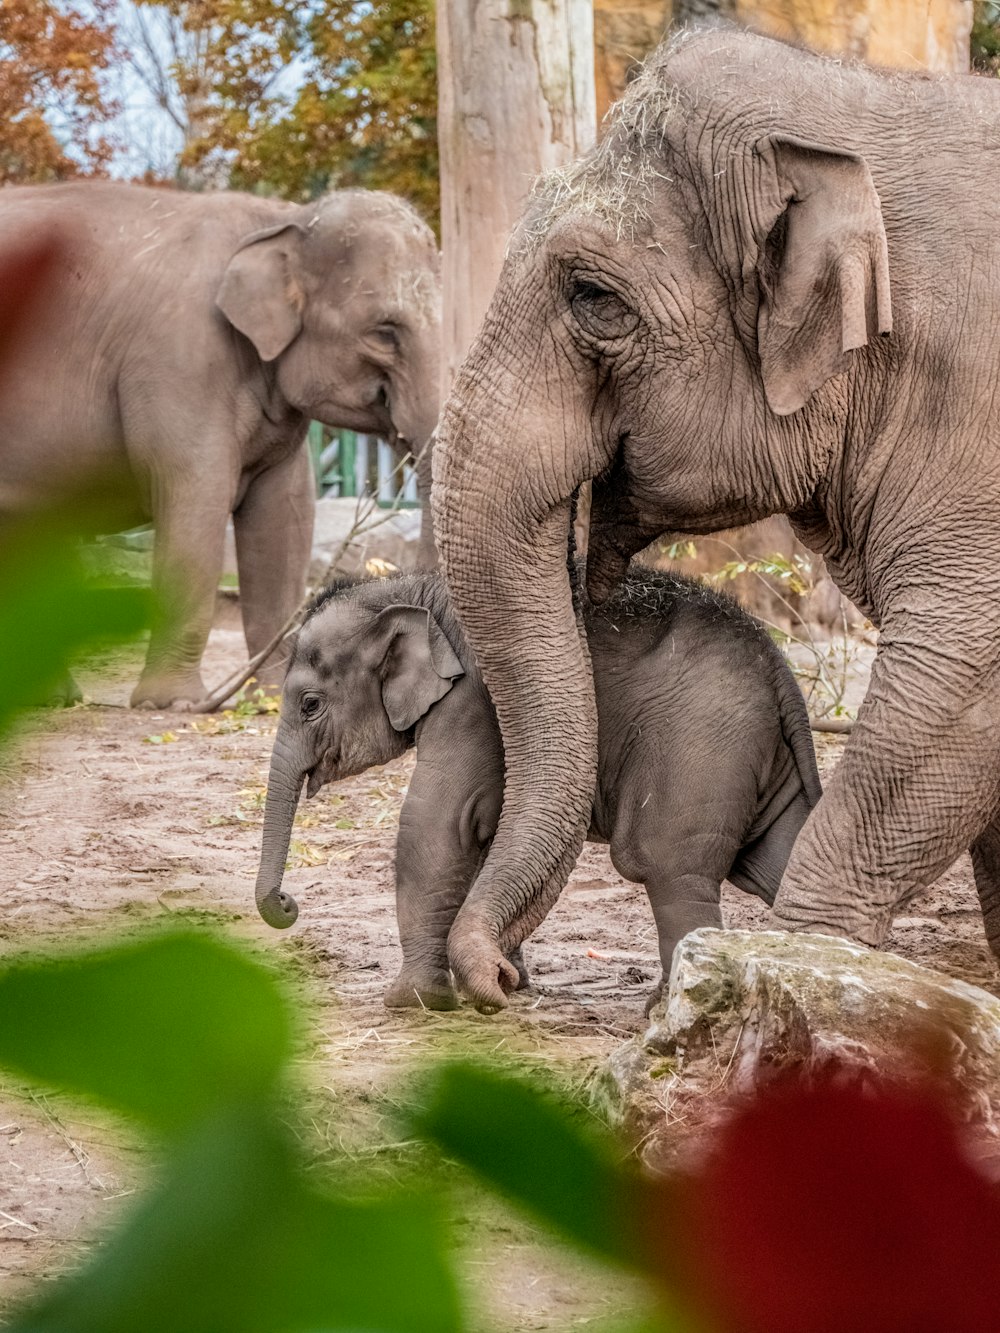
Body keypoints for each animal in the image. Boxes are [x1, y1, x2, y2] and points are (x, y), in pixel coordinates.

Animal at [0, 185, 440, 719]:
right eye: (384, 331)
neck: (285, 219)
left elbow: (284, 521)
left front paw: (269, 700)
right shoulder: (180, 361)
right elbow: (195, 505)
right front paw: (173, 703)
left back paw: (53, 699)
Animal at [252, 562, 821, 1007]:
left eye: (309, 704)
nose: (287, 903)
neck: (415, 588)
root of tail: (781, 671)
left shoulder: (471, 704)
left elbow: (439, 823)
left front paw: (414, 1001)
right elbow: (488, 830)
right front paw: (513, 982)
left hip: (697, 747)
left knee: (667, 865)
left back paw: (666, 1009)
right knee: (780, 857)